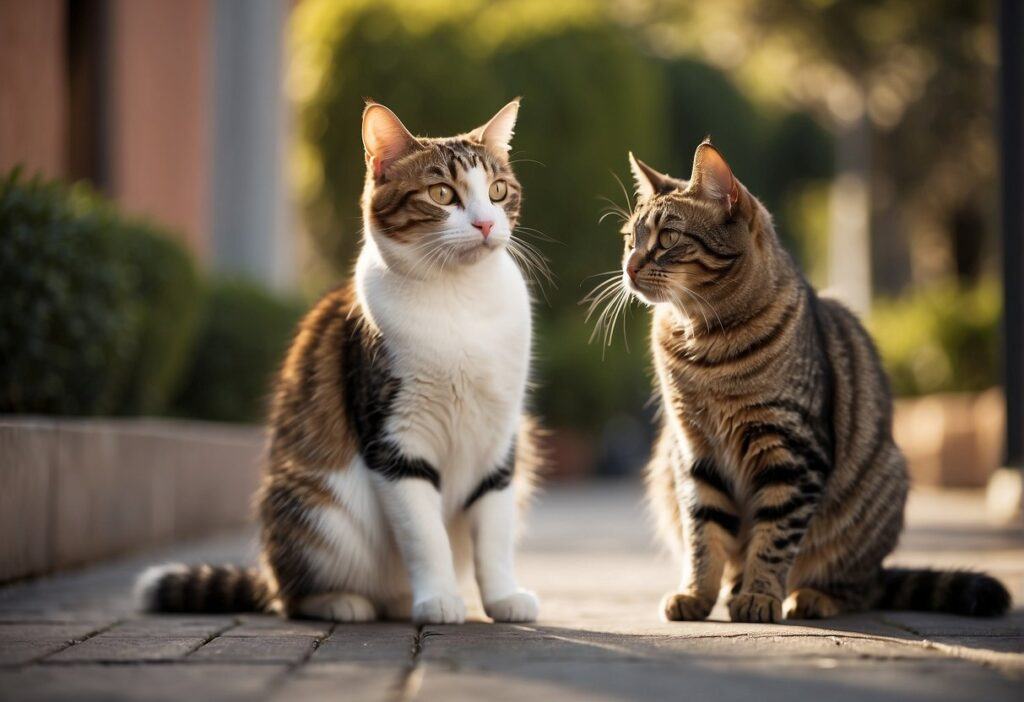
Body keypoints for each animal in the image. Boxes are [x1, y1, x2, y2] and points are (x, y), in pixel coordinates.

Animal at [614, 140, 1007, 626]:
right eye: (629, 239)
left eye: (667, 238)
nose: (628, 266)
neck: (704, 343)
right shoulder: (694, 449)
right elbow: (703, 534)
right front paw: (696, 594)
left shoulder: (791, 450)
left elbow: (774, 535)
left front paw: (760, 595)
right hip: (664, 466)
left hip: (876, 490)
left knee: (859, 587)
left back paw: (811, 597)